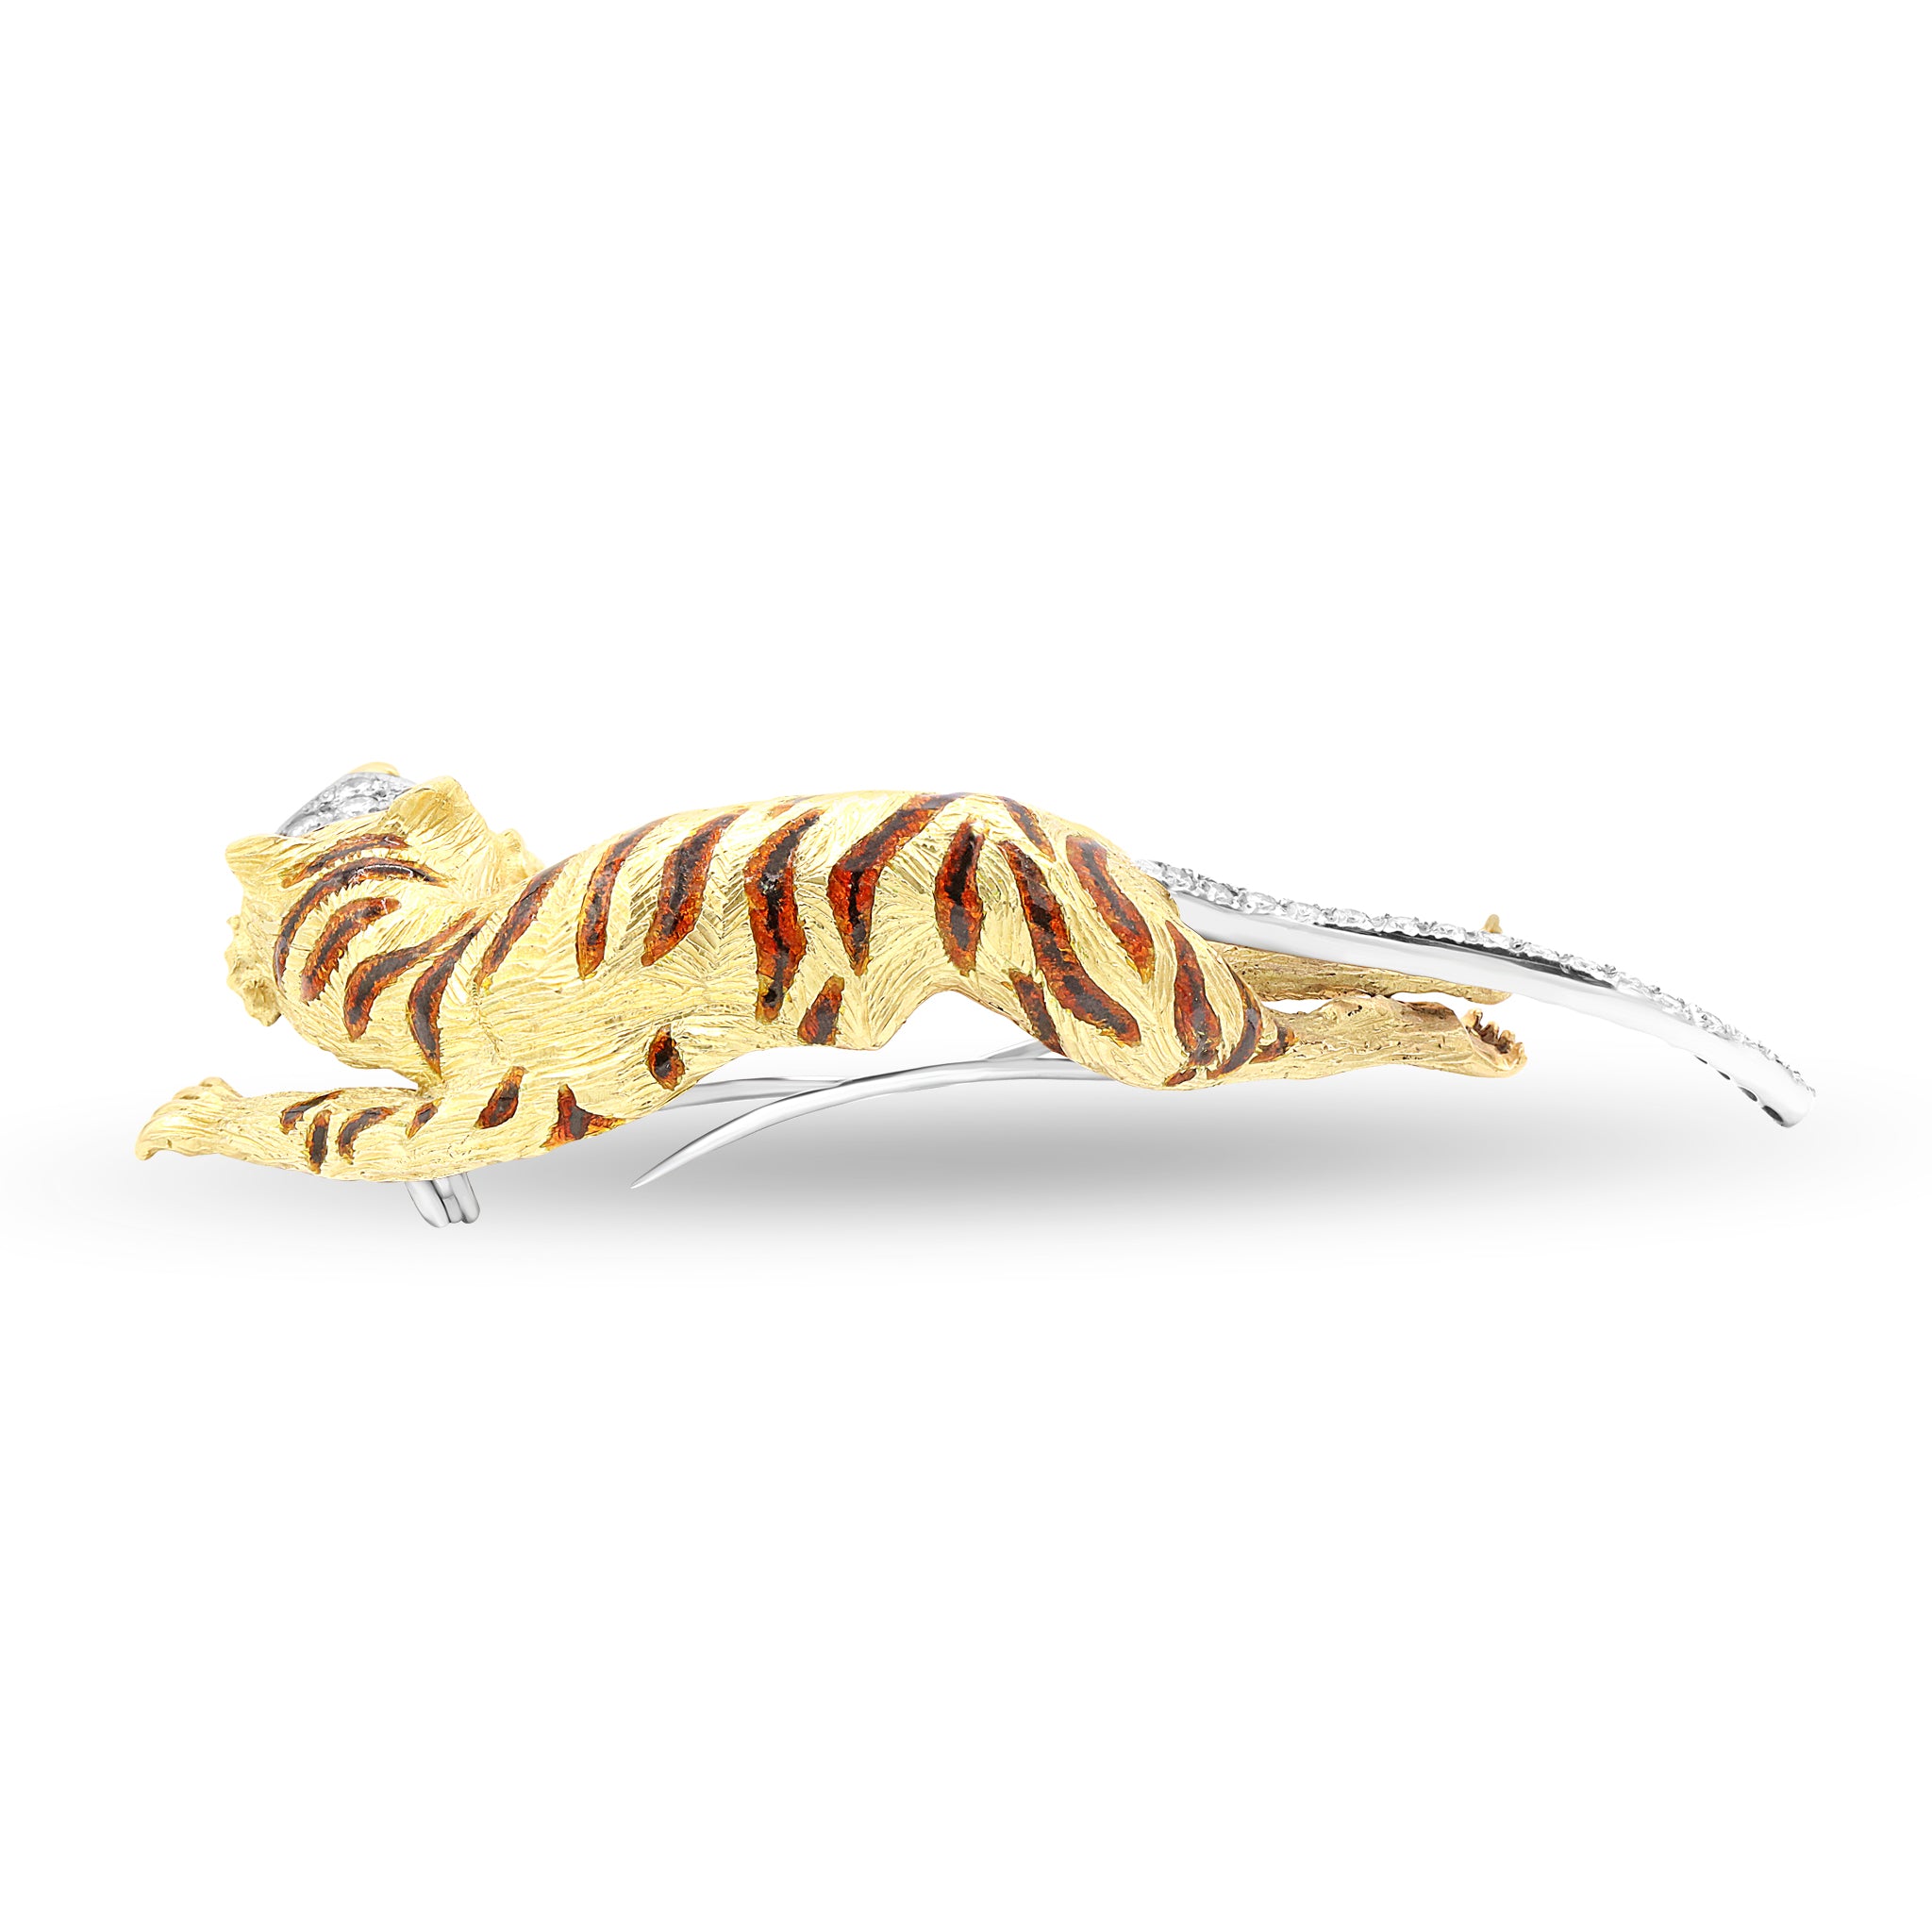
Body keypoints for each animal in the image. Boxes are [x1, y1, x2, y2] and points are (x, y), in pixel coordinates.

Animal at [135, 767, 1524, 1185]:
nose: (221, 966)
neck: (403, 938)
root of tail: (1093, 844)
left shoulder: (512, 1098)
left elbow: (324, 1125)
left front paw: (195, 1111)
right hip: (1153, 962)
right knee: (1296, 964)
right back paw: (1485, 992)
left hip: (1130, 1015)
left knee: (1319, 1027)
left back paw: (1462, 1033)